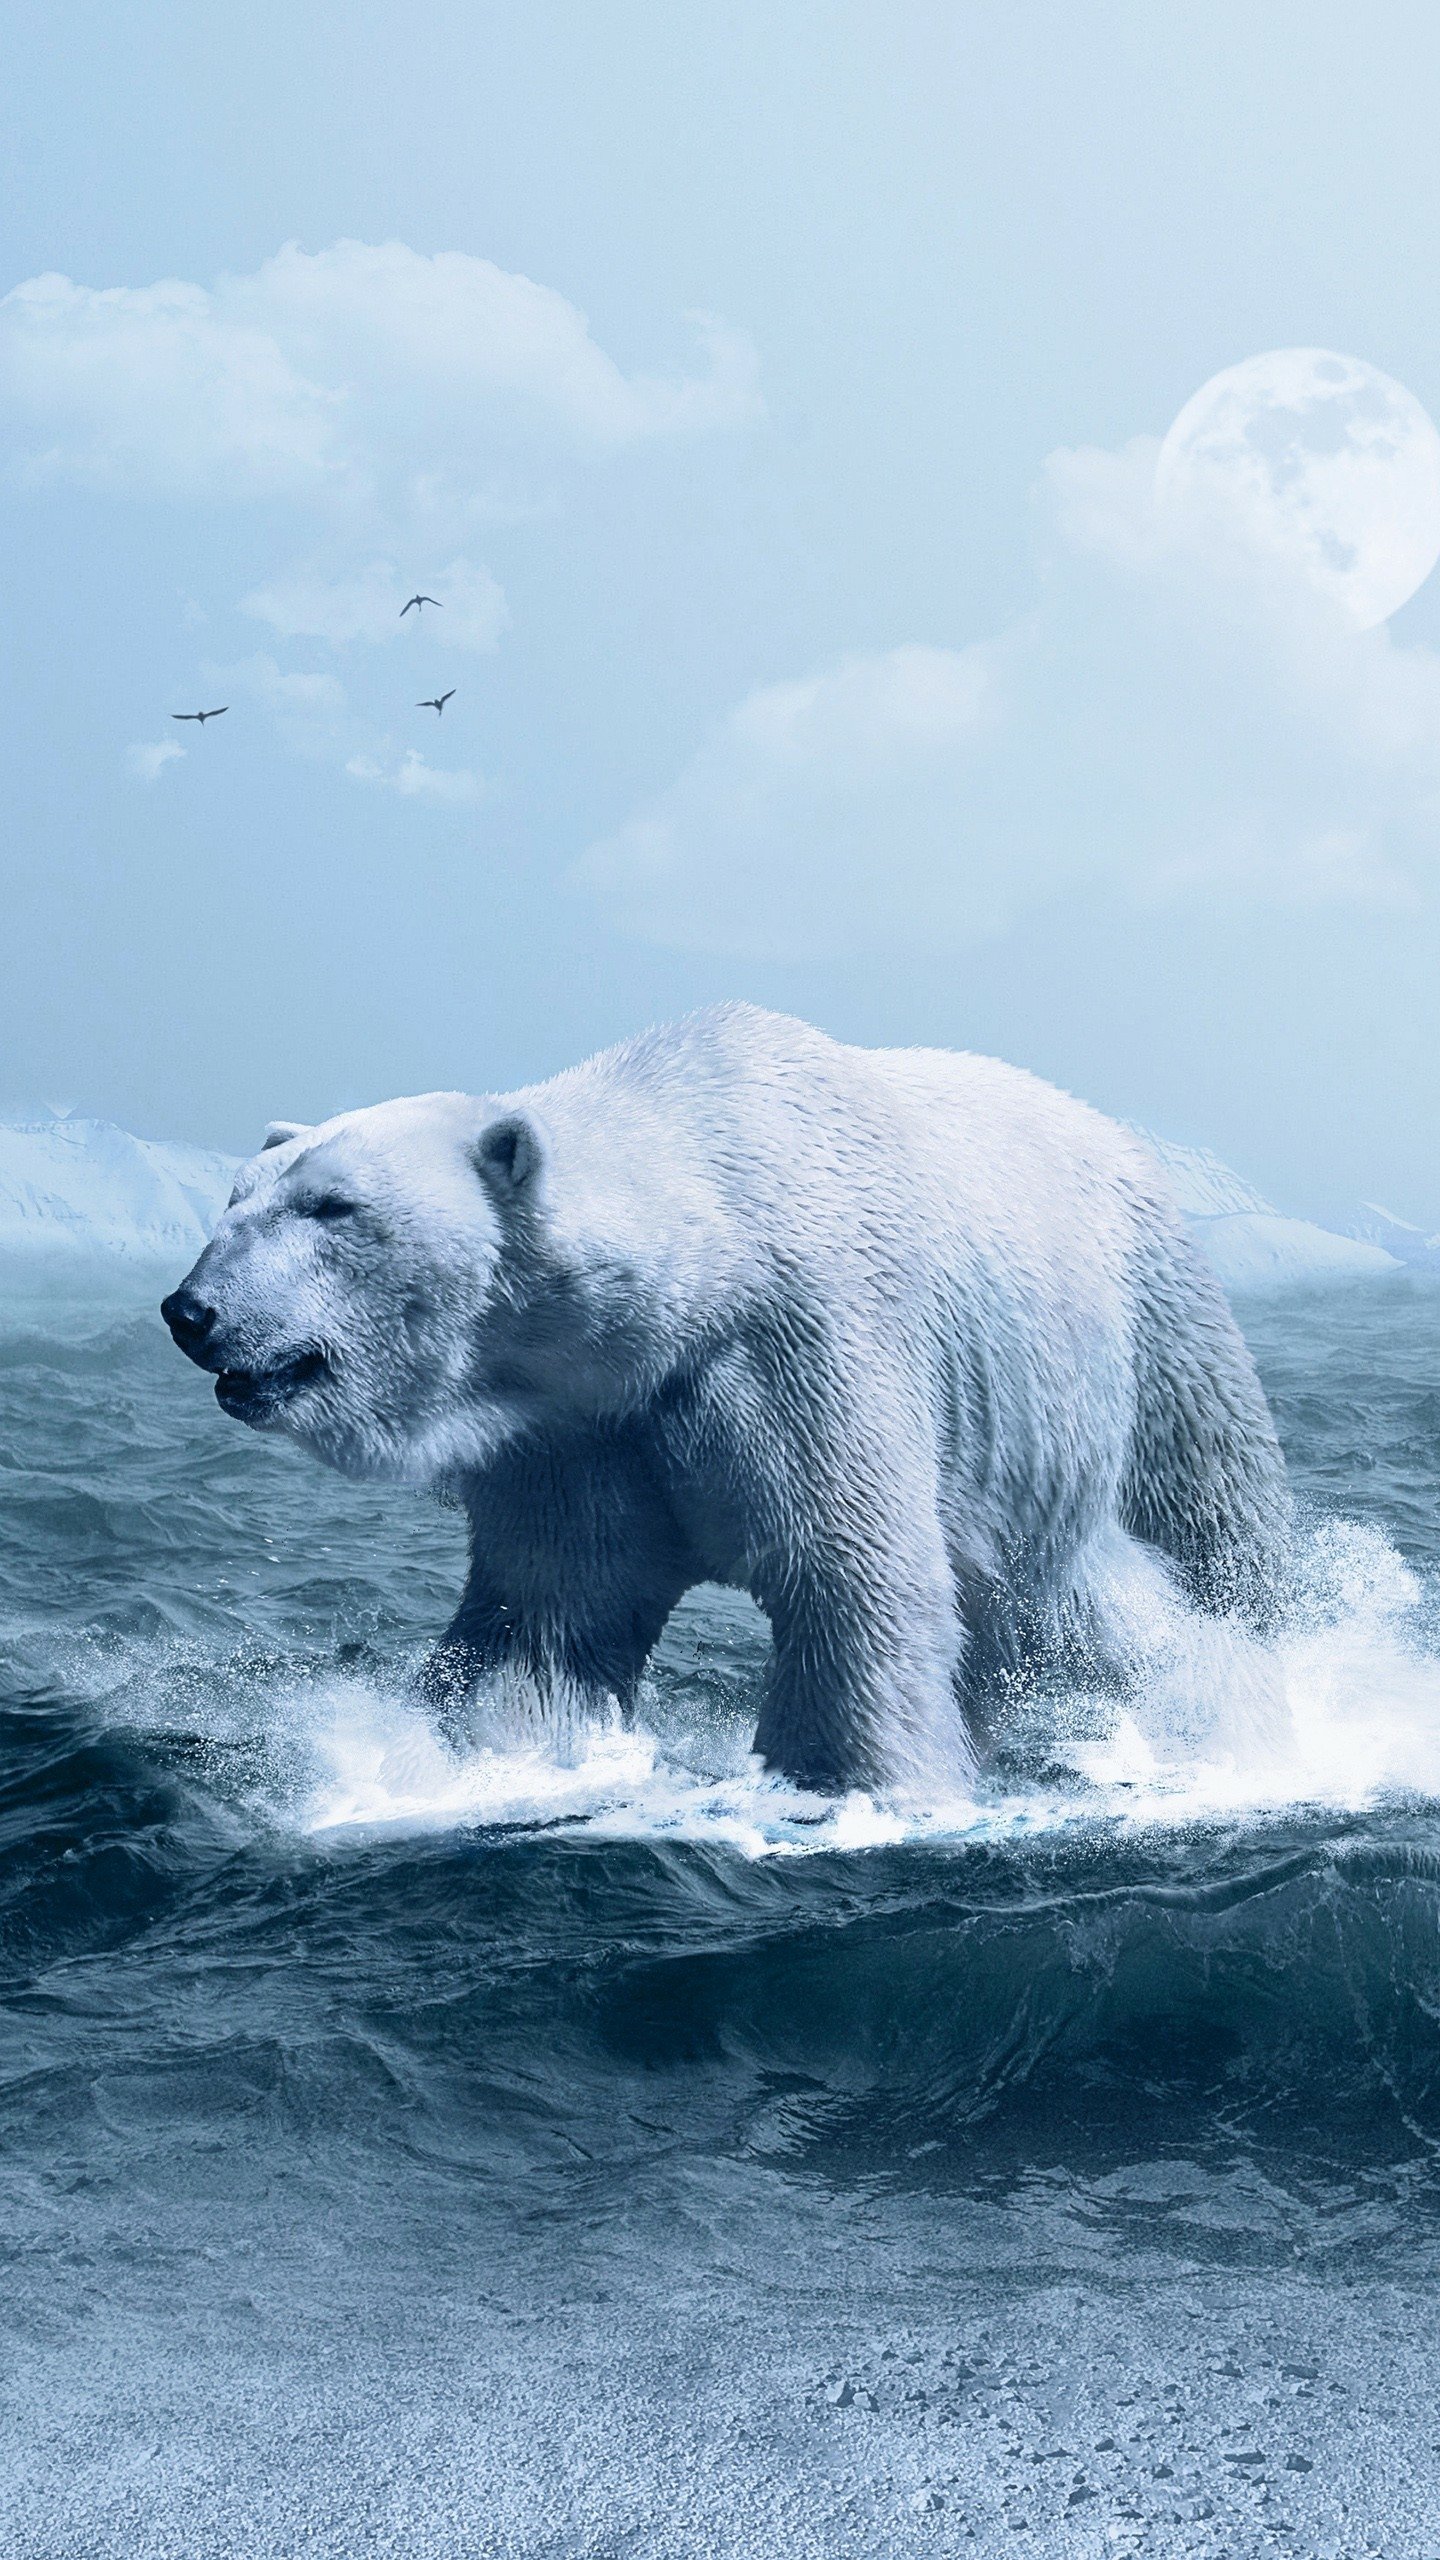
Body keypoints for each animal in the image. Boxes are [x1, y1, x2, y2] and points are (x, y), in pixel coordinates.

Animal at [161, 1004, 1290, 1795]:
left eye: (332, 1206)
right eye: (236, 1198)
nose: (190, 1310)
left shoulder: (803, 1345)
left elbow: (849, 1574)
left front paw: (850, 1783)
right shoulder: (581, 1427)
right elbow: (547, 1612)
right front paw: (477, 1753)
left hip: (1147, 1327)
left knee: (1196, 1527)